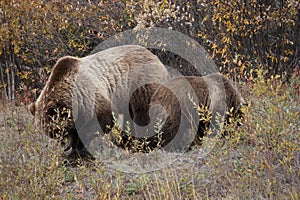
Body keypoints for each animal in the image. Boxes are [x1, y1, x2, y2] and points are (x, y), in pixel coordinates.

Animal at [29, 45, 170, 156]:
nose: (63, 146)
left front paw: (79, 145)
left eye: (57, 131)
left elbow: (104, 119)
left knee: (142, 114)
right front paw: (74, 147)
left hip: (140, 83)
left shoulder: (88, 95)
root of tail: (155, 57)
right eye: (51, 133)